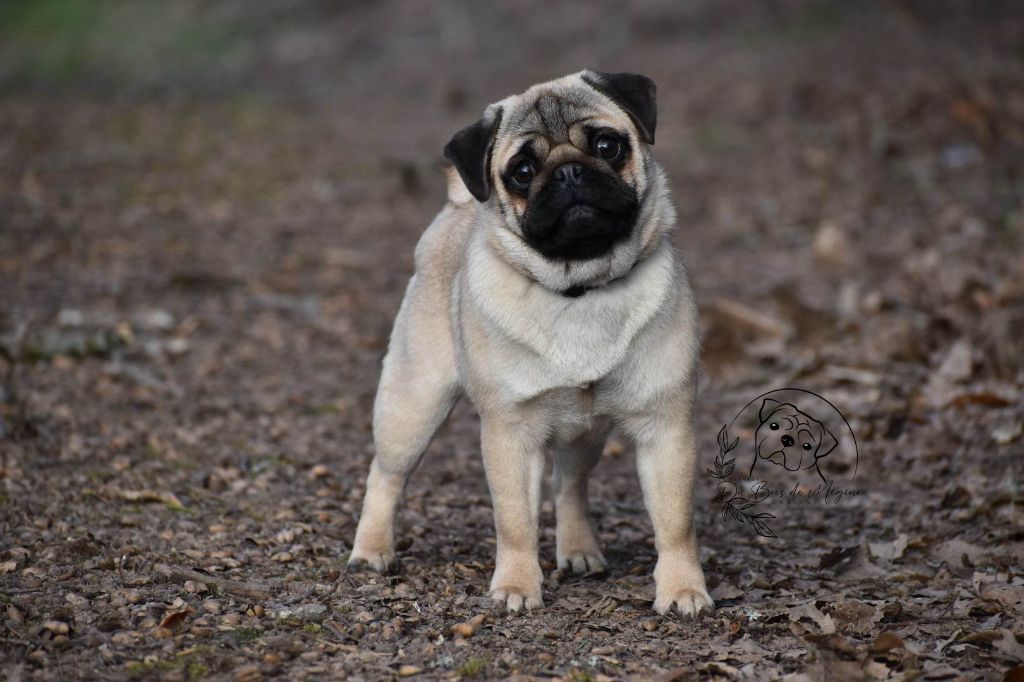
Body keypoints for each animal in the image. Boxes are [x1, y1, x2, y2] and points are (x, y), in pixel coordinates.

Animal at [348, 71, 708, 614]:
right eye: (521, 172)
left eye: (607, 146)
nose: (568, 173)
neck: (581, 289)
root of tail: (458, 207)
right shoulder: (510, 433)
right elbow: (515, 521)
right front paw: (517, 586)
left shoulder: (665, 427)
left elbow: (674, 522)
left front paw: (684, 588)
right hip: (412, 405)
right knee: (385, 476)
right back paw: (371, 550)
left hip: (585, 433)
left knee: (568, 484)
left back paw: (578, 550)